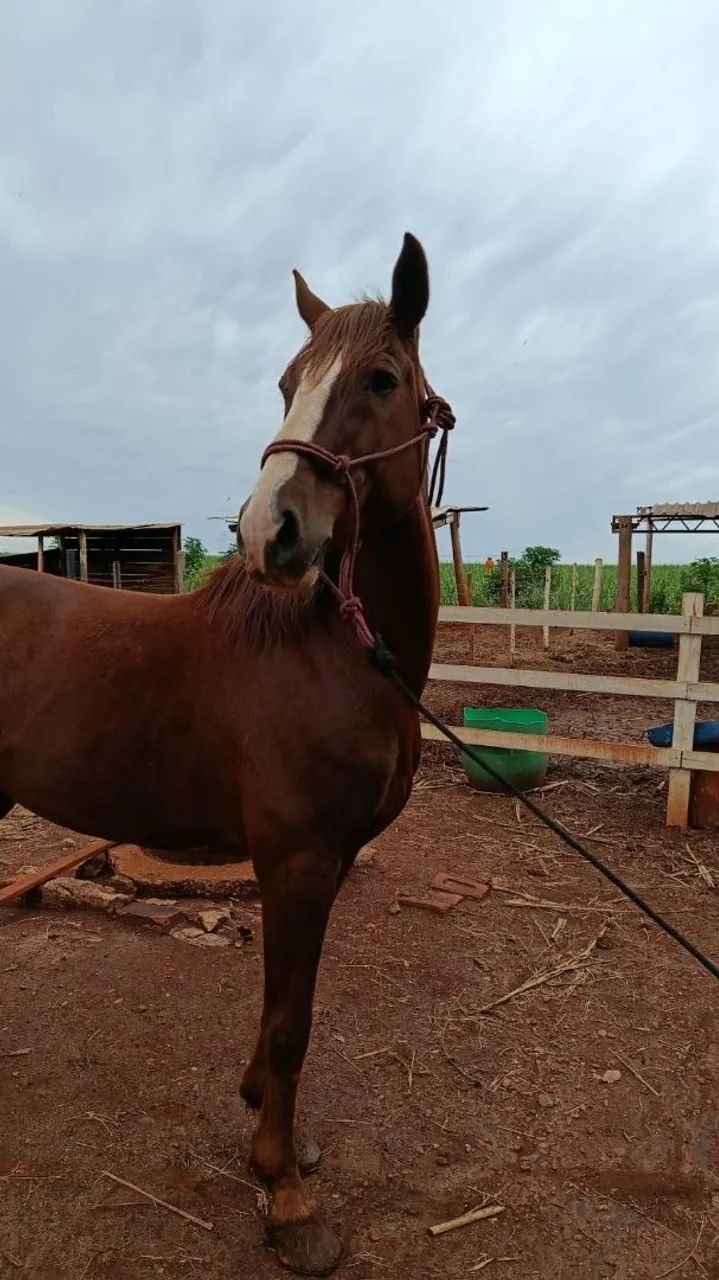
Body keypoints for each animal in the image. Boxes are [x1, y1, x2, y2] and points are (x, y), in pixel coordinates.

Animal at [0, 232, 443, 1275]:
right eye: (286, 382)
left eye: (380, 379)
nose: (266, 531)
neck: (332, 653)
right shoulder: (295, 860)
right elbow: (289, 1023)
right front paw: (284, 1194)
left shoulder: (327, 861)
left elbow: (285, 1007)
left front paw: (274, 1135)